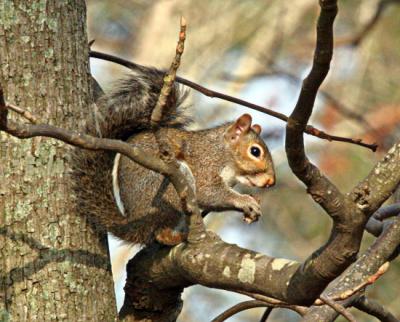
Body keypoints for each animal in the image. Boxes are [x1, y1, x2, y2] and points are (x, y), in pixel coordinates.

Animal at [70, 67, 276, 244]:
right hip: (168, 192)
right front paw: (245, 201)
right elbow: (209, 192)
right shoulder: (205, 164)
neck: (223, 154)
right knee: (161, 234)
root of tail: (136, 223)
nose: (271, 182)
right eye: (255, 151)